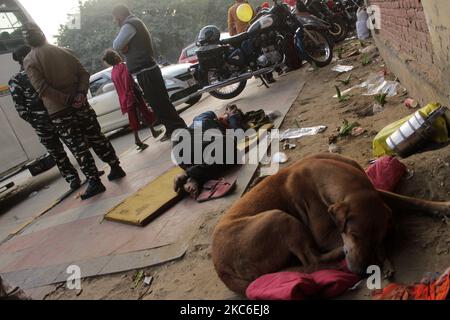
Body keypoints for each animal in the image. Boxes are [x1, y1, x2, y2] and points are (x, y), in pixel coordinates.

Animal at [212, 154, 450, 296]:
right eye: (354, 235)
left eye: (377, 237)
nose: (363, 269)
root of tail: (221, 270)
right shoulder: (323, 235)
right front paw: (384, 257)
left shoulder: (374, 192)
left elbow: (408, 200)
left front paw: (443, 206)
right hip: (278, 217)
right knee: (312, 261)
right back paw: (337, 260)